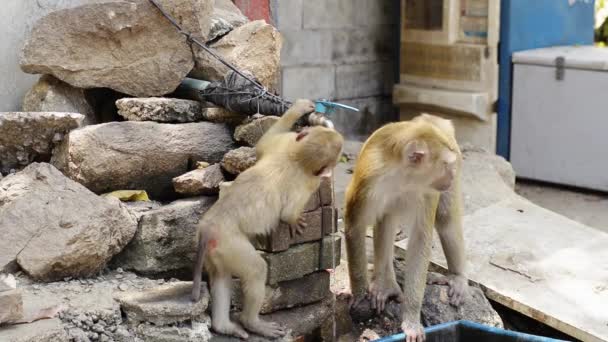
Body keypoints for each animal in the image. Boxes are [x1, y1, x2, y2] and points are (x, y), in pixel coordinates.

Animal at [191, 99, 342, 340]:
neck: (296, 155)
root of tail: (208, 228)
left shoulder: (279, 145)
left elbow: (263, 142)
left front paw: (300, 108)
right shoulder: (307, 183)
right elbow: (287, 214)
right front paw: (294, 221)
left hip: (216, 250)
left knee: (221, 275)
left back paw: (224, 327)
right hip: (229, 243)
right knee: (256, 269)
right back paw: (252, 323)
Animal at [344, 114, 468, 342]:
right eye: (445, 165)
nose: (452, 174)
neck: (404, 175)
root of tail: (431, 118)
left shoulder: (429, 191)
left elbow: (420, 239)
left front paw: (411, 319)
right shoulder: (369, 177)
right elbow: (355, 225)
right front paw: (360, 297)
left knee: (446, 218)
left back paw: (457, 277)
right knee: (386, 217)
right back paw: (385, 284)